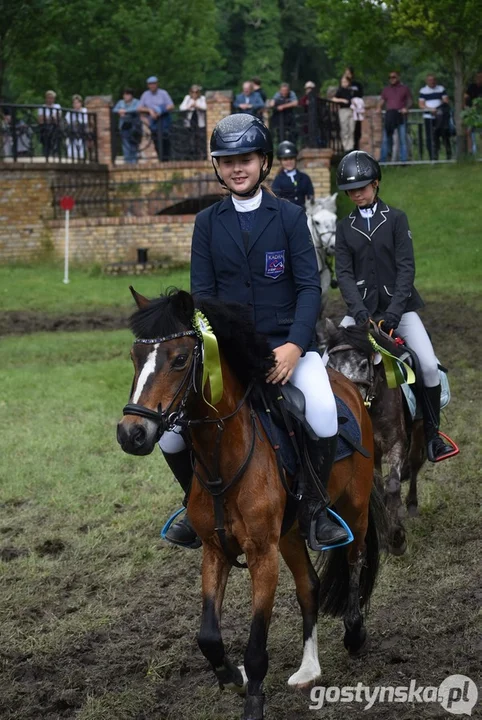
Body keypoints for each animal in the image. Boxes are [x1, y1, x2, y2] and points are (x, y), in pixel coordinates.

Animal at [116, 288, 388, 720]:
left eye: (179, 359)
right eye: (135, 356)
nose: (132, 433)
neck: (223, 458)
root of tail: (347, 387)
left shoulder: (262, 555)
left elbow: (257, 645)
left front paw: (253, 700)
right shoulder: (216, 550)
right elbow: (208, 636)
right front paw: (232, 677)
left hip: (354, 508)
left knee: (354, 558)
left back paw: (354, 633)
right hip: (290, 532)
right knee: (309, 586)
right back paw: (308, 668)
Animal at [326, 322, 424, 556]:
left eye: (363, 364)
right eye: (331, 366)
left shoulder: (396, 444)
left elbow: (393, 485)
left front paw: (397, 538)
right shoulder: (370, 453)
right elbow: (379, 488)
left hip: (418, 430)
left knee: (415, 463)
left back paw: (411, 505)